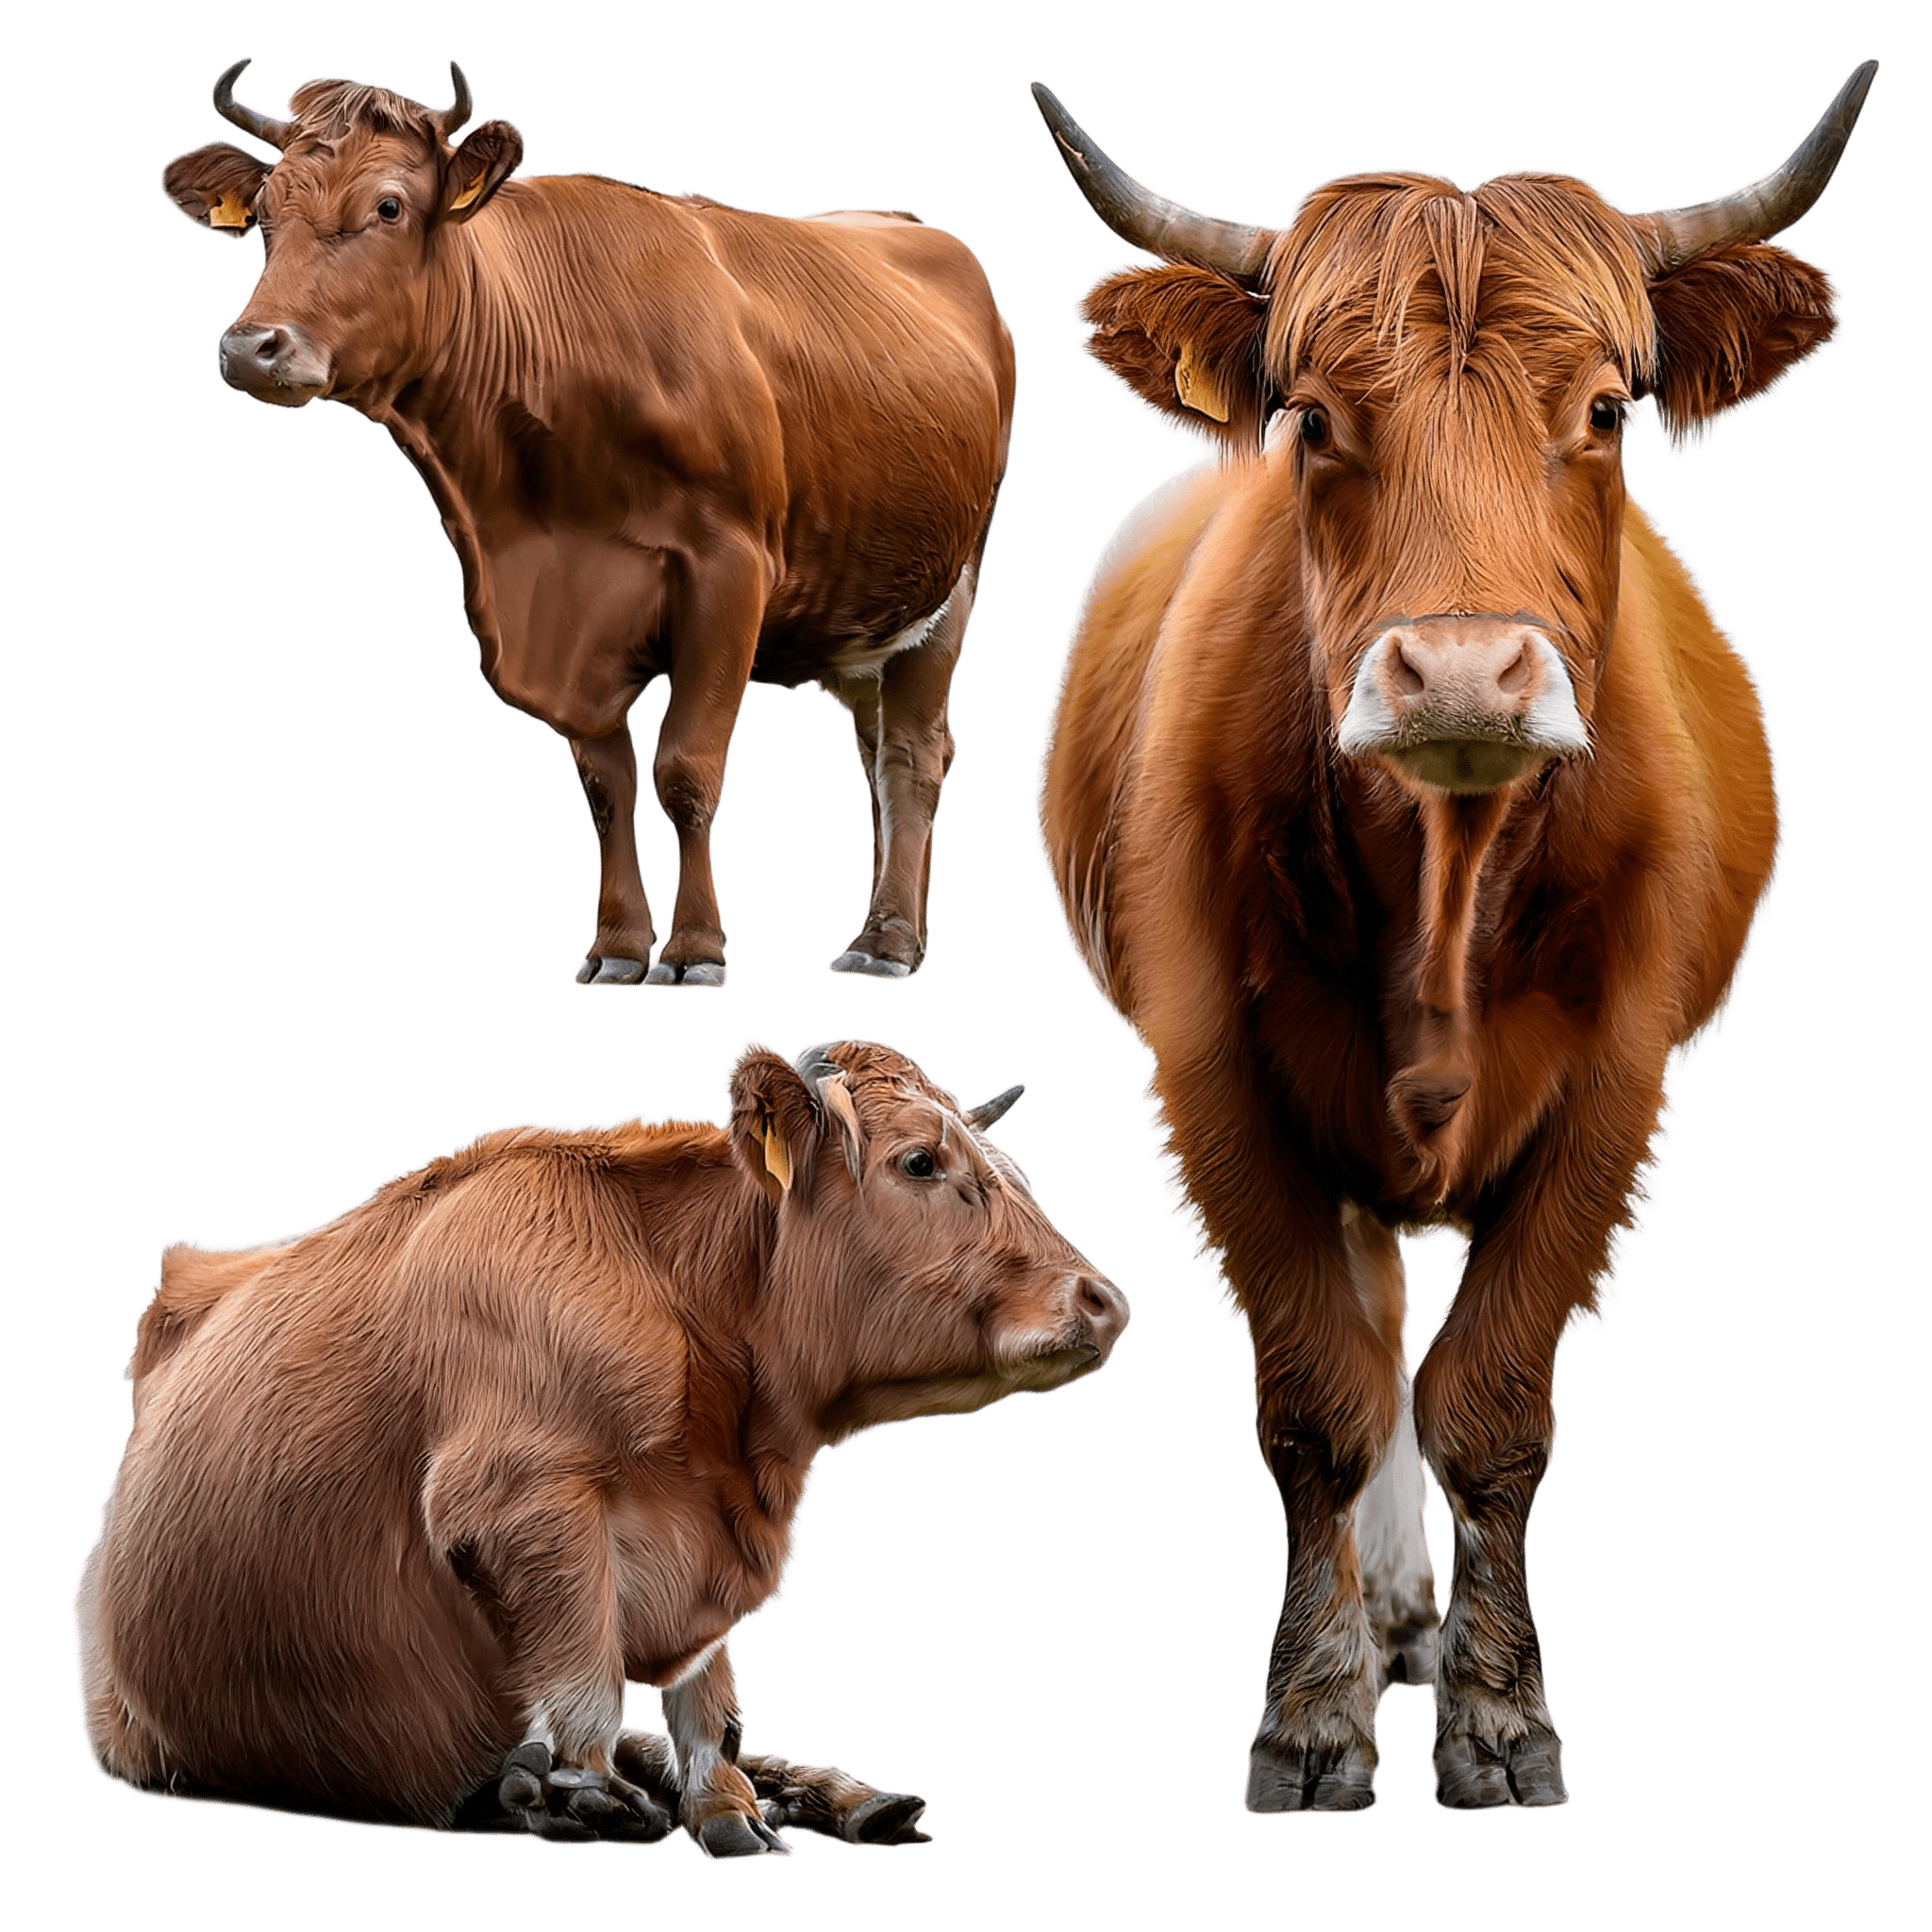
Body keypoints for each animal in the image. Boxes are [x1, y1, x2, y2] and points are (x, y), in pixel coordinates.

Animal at [74, 1041, 1127, 1852]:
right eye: (917, 1162)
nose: (1105, 1299)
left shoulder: (709, 1538)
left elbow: (711, 1705)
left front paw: (728, 1810)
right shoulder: (519, 1501)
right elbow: (586, 1676)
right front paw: (584, 1797)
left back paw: (851, 1798)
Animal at [162, 63, 1016, 986]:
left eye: (387, 206)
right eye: (264, 215)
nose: (251, 347)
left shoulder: (729, 572)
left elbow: (686, 770)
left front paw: (696, 949)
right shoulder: (565, 612)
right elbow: (608, 787)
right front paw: (618, 946)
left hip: (952, 587)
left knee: (914, 756)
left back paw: (885, 941)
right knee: (875, 753)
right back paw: (899, 931)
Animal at [1032, 66, 1873, 1810]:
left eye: (1606, 409)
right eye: (1311, 419)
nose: (1467, 674)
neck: (1446, 872)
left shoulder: (1615, 1083)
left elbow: (1487, 1402)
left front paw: (1498, 1715)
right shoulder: (1215, 1078)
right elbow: (1321, 1403)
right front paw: (1312, 1712)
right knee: (1367, 1314)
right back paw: (1380, 1620)